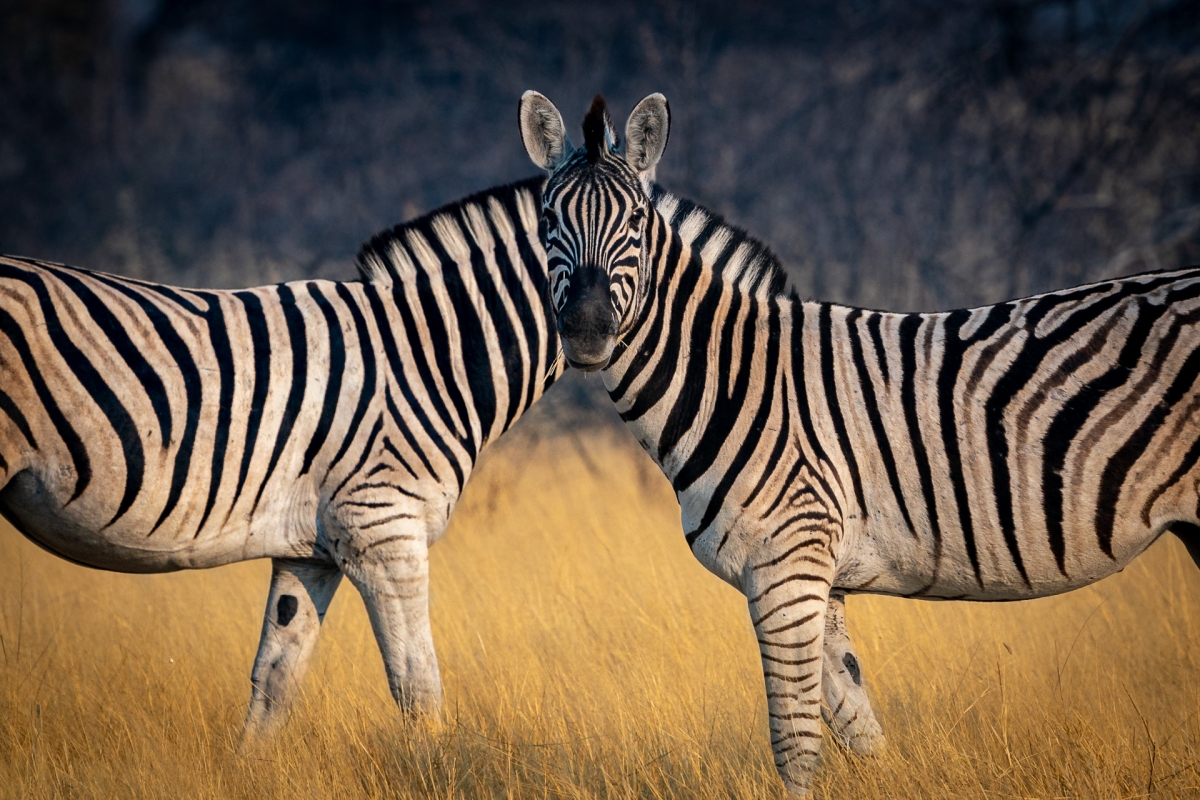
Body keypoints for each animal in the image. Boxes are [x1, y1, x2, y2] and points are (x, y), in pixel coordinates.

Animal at [0, 178, 567, 740]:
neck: (429, 357)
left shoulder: (312, 553)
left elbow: (275, 681)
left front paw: (245, 764)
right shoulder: (384, 530)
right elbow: (417, 685)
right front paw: (434, 763)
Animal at [519, 90, 1200, 796]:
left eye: (635, 220)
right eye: (547, 219)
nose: (588, 332)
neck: (733, 378)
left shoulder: (789, 564)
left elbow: (795, 746)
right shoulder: (812, 576)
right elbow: (859, 727)